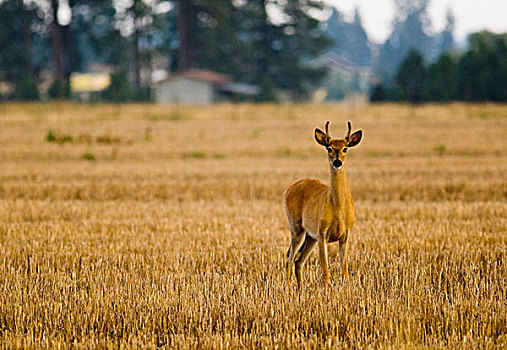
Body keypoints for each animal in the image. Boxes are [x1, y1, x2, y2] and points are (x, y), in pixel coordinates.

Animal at [286, 120, 362, 288]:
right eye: (329, 148)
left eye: (345, 148)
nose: (337, 162)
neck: (338, 210)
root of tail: (289, 189)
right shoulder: (322, 233)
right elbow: (326, 273)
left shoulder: (346, 234)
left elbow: (345, 272)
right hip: (297, 228)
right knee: (289, 258)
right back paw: (287, 289)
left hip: (310, 236)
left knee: (298, 260)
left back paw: (301, 289)